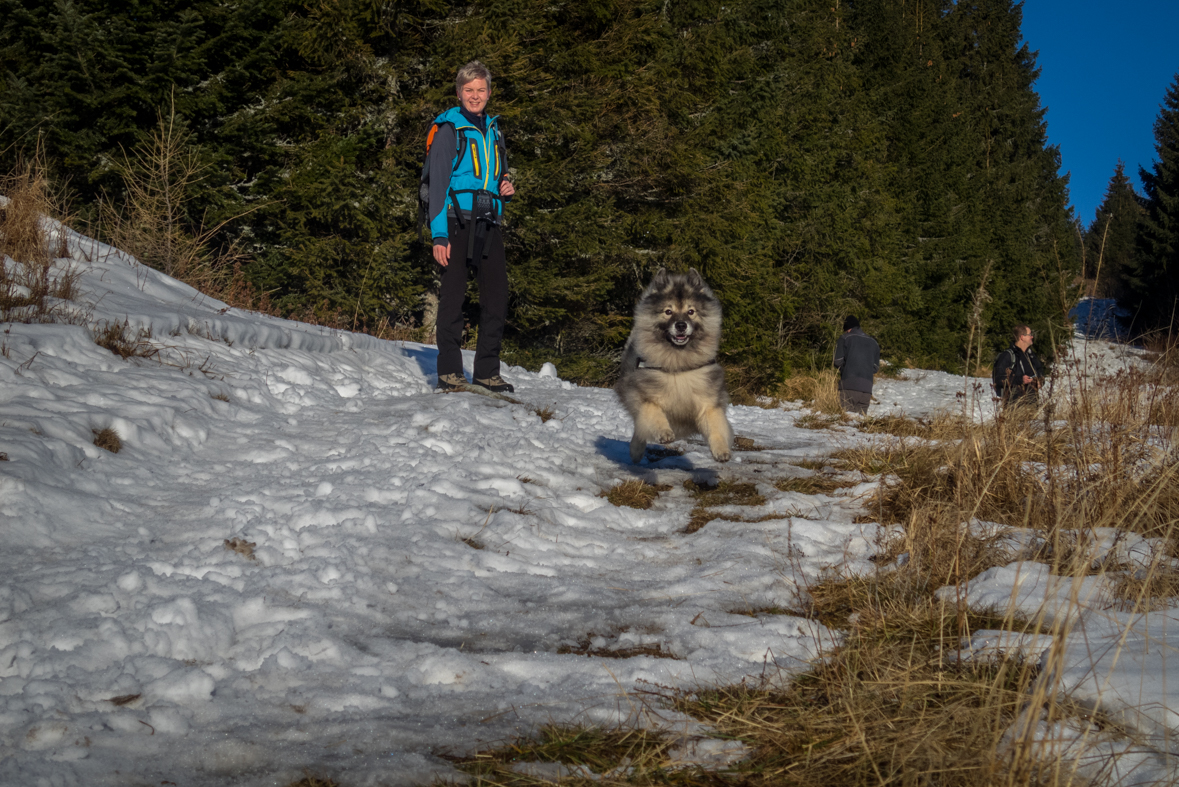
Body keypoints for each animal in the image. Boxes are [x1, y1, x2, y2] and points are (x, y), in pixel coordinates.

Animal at [617, 267, 726, 464]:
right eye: (668, 311)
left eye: (691, 311)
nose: (681, 325)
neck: (678, 365)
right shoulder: (642, 395)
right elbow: (653, 412)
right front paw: (665, 433)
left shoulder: (708, 401)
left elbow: (716, 425)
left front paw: (721, 450)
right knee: (640, 429)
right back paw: (636, 451)